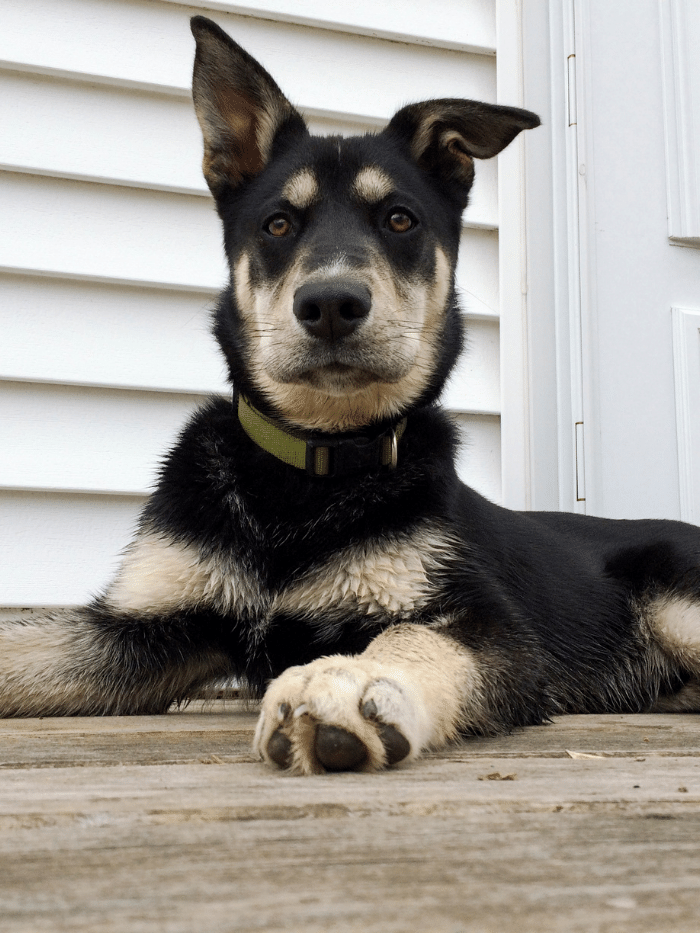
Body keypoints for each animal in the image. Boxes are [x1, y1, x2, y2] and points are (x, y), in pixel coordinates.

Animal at [1, 16, 700, 772]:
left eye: (399, 219)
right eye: (278, 224)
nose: (331, 304)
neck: (311, 466)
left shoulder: (484, 622)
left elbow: (408, 638)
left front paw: (346, 683)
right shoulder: (149, 623)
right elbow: (26, 641)